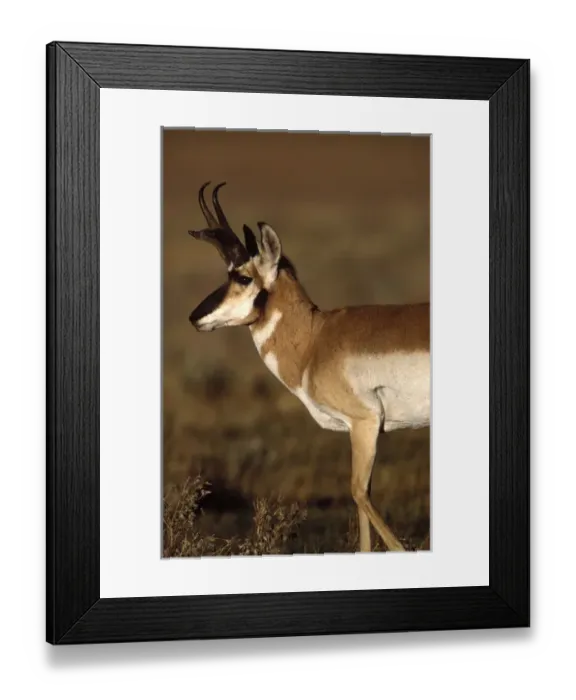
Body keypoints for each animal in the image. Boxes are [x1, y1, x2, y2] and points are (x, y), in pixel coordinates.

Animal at [188, 182, 430, 553]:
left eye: (242, 277)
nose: (194, 317)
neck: (316, 338)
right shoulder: (362, 432)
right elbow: (364, 503)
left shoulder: (365, 423)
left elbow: (358, 493)